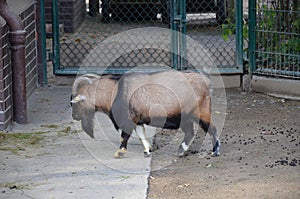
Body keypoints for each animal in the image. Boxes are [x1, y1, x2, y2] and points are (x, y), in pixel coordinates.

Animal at [70, 70, 220, 159]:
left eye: (75, 103)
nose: (74, 116)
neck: (114, 91)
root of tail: (206, 82)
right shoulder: (138, 120)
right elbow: (141, 135)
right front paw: (147, 150)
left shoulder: (128, 120)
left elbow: (124, 136)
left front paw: (120, 152)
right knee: (190, 132)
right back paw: (180, 151)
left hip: (200, 112)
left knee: (211, 128)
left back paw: (215, 151)